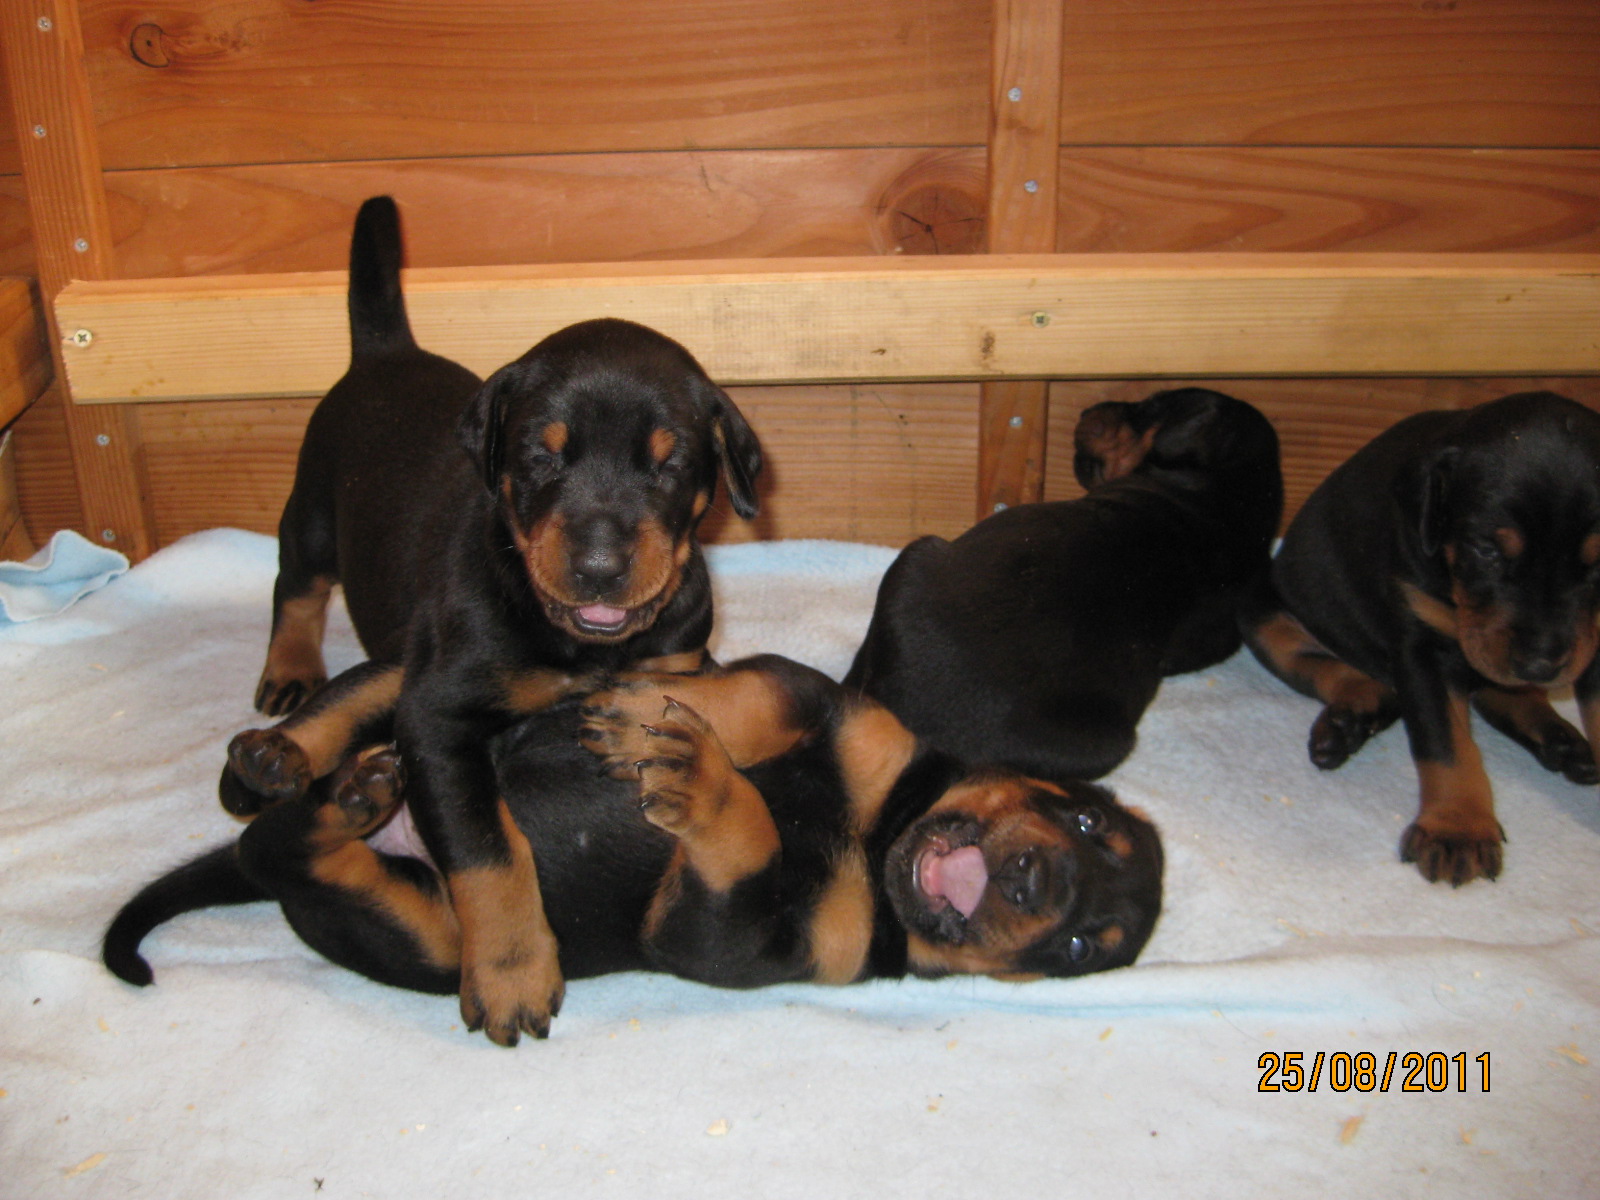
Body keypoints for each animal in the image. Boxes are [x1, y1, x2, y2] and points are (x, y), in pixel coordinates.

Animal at [104, 656, 1163, 1003]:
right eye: (1082, 815)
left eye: (1080, 947)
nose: (1035, 885)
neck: (877, 839)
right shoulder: (849, 719)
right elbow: (761, 692)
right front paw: (645, 708)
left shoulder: (731, 941)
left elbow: (746, 846)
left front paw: (696, 776)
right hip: (419, 677)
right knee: (356, 709)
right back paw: (279, 760)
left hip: (424, 930)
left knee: (278, 849)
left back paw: (349, 807)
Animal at [229, 196, 763, 1044]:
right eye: (543, 457)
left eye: (671, 463)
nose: (600, 566)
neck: (578, 642)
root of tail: (386, 351)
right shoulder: (442, 713)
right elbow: (487, 850)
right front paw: (512, 974)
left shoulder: (678, 660)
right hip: (313, 515)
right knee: (299, 593)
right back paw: (282, 707)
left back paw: (276, 759)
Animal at [1242, 391, 1600, 886]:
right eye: (1486, 550)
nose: (1541, 666)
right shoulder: (1420, 643)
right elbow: (1446, 743)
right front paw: (1457, 830)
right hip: (1262, 614)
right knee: (1336, 668)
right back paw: (1349, 719)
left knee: (1501, 693)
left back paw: (1560, 741)